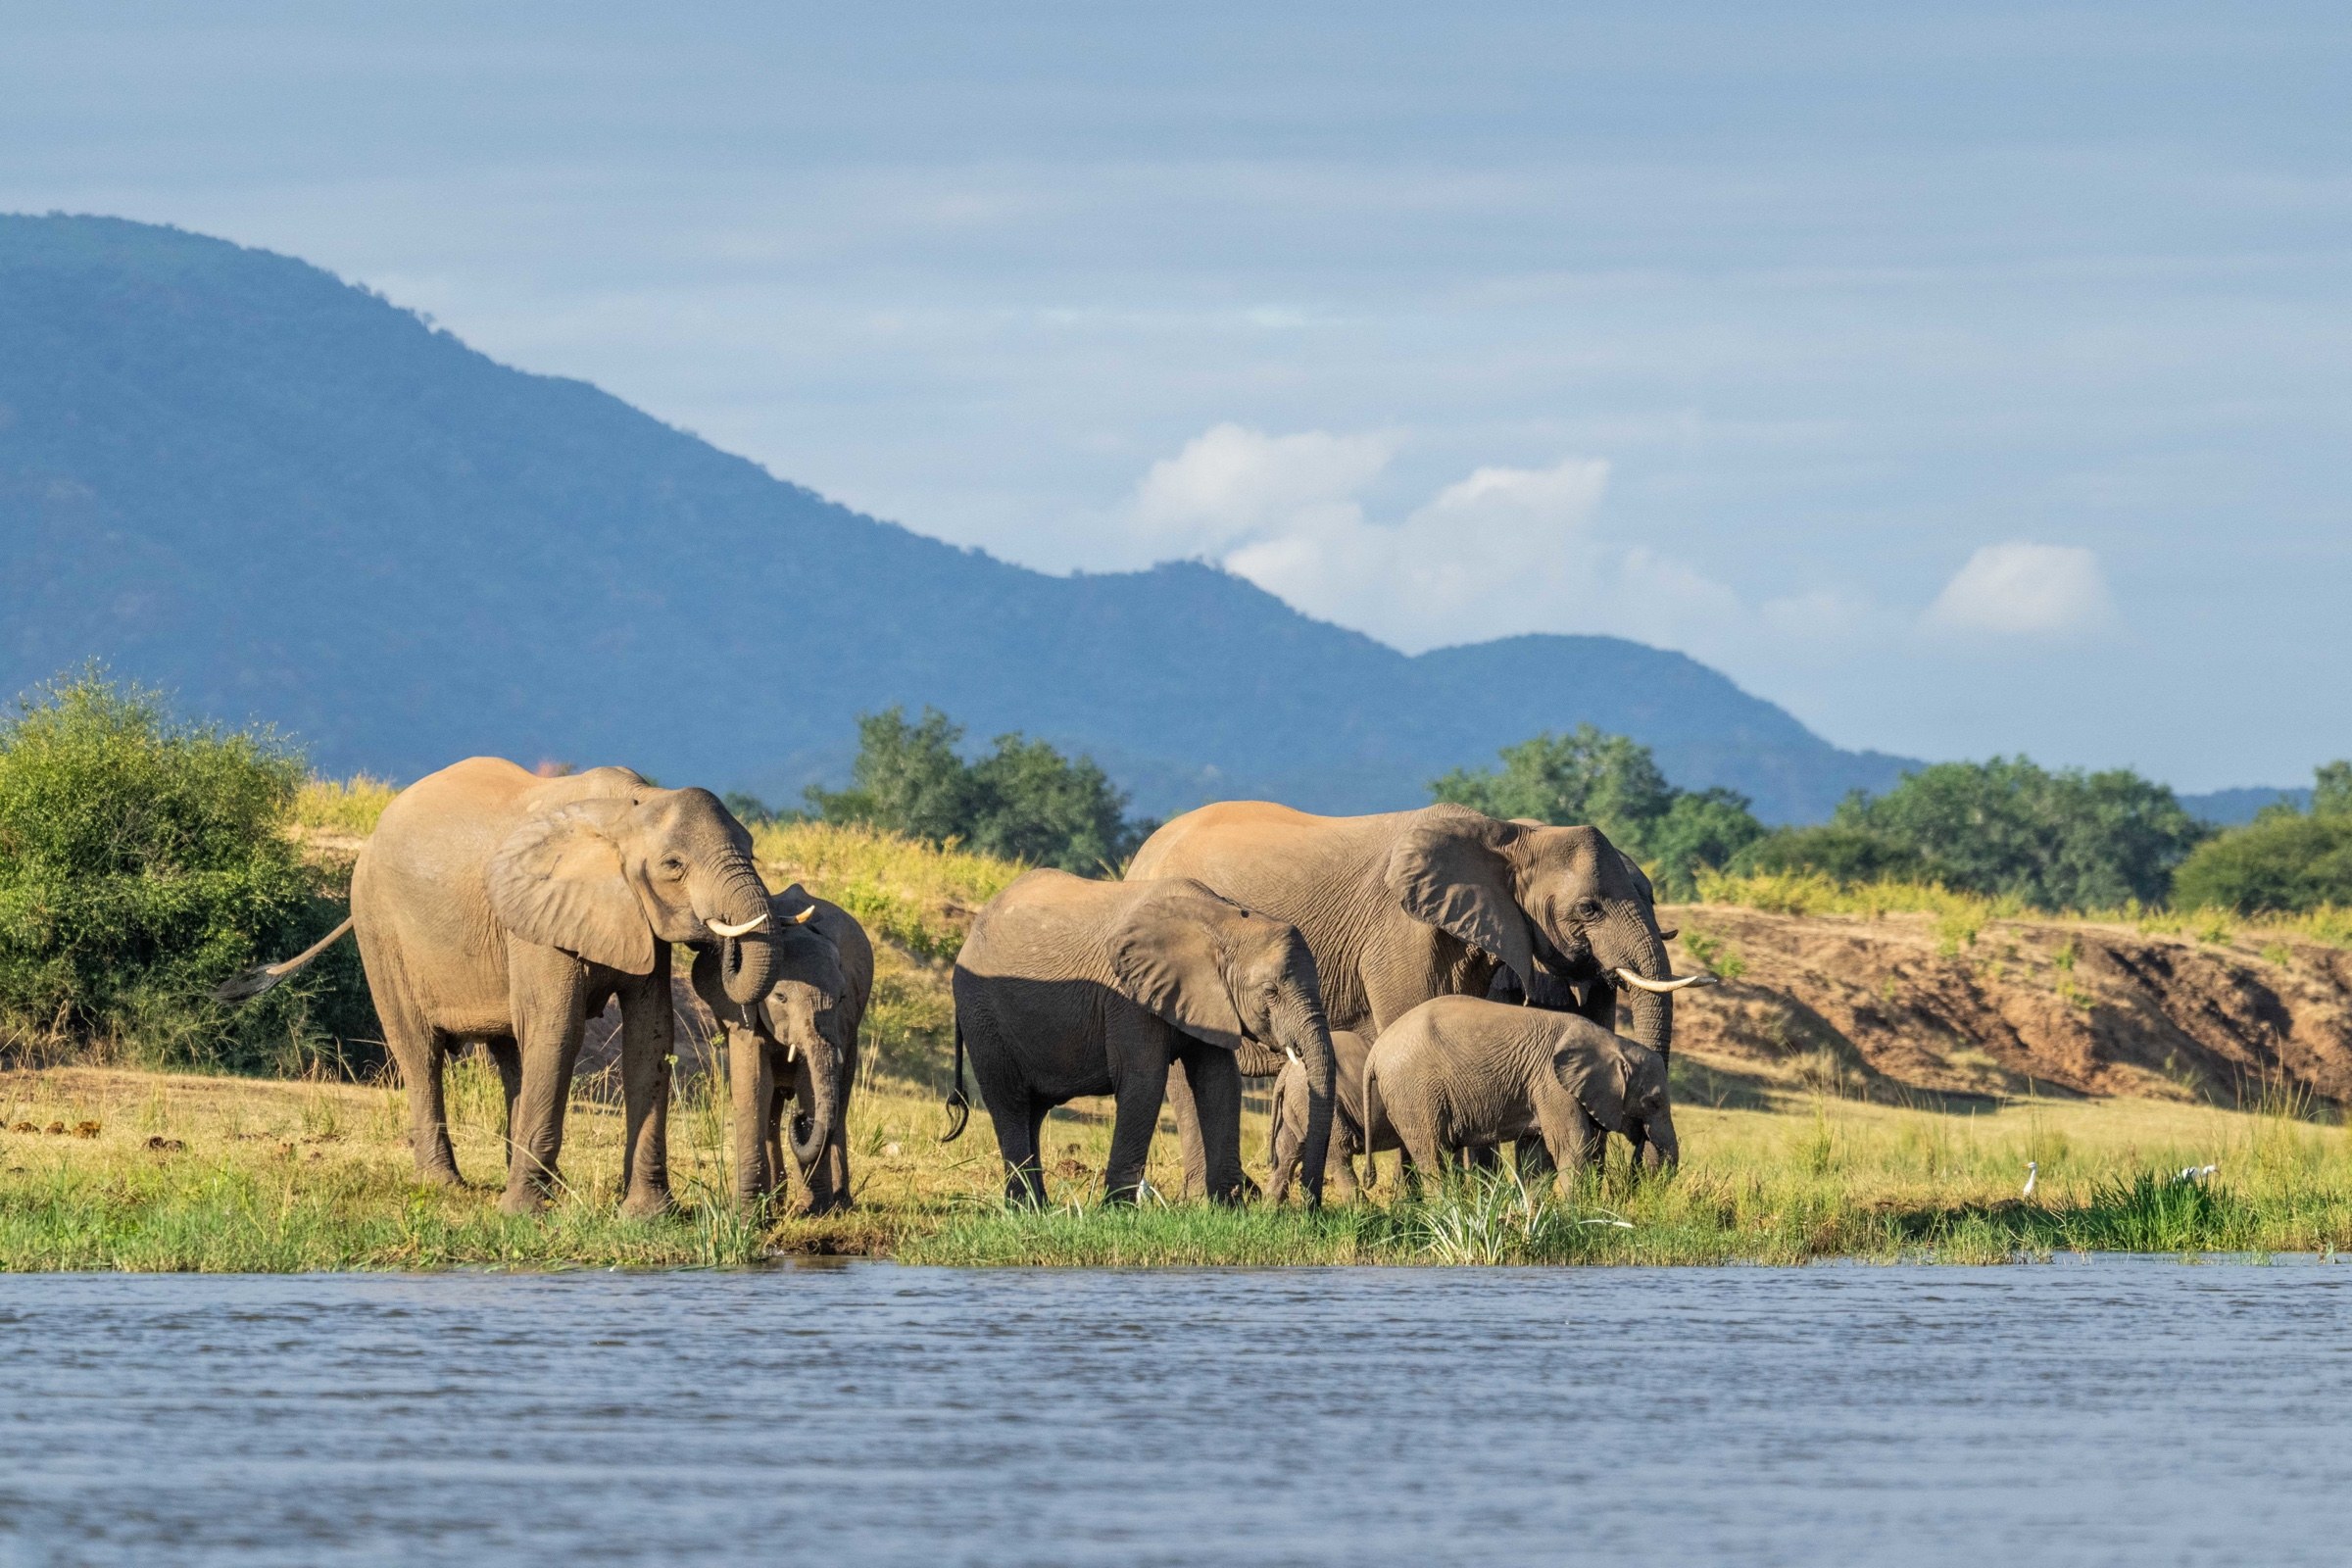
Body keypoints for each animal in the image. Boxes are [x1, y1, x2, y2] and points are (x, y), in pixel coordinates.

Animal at [217, 757, 809, 1215]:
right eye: (673, 865)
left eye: (752, 852)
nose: (720, 948)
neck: (628, 809)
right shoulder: (537, 919)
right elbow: (558, 1030)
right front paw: (523, 1214)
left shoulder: (636, 920)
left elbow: (651, 1035)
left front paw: (648, 1216)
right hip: (378, 927)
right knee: (420, 1051)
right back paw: (447, 1185)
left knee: (511, 1052)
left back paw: (539, 1181)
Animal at [690, 890, 872, 1213]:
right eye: (780, 997)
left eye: (842, 998)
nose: (799, 1119)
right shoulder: (742, 1012)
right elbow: (753, 1083)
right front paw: (748, 1213)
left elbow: (809, 1083)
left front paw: (813, 1209)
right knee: (773, 1108)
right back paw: (775, 1202)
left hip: (851, 1037)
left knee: (840, 1101)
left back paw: (839, 1203)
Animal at [946, 870, 1339, 1206]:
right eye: (1271, 991)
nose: (1312, 1210)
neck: (1221, 919)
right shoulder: (1128, 996)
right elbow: (1144, 1081)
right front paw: (1115, 1211)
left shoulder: (1207, 997)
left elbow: (1219, 1082)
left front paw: (1228, 1208)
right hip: (981, 1014)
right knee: (1009, 1101)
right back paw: (1024, 1209)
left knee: (1034, 1110)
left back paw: (1039, 1208)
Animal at [1358, 995, 1679, 1186]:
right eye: (1653, 1102)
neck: (1613, 1041)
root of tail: (1375, 1052)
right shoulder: (1552, 1084)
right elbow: (1572, 1147)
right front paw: (1572, 1213)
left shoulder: (1540, 1086)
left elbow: (1538, 1158)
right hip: (1414, 1089)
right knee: (1433, 1155)